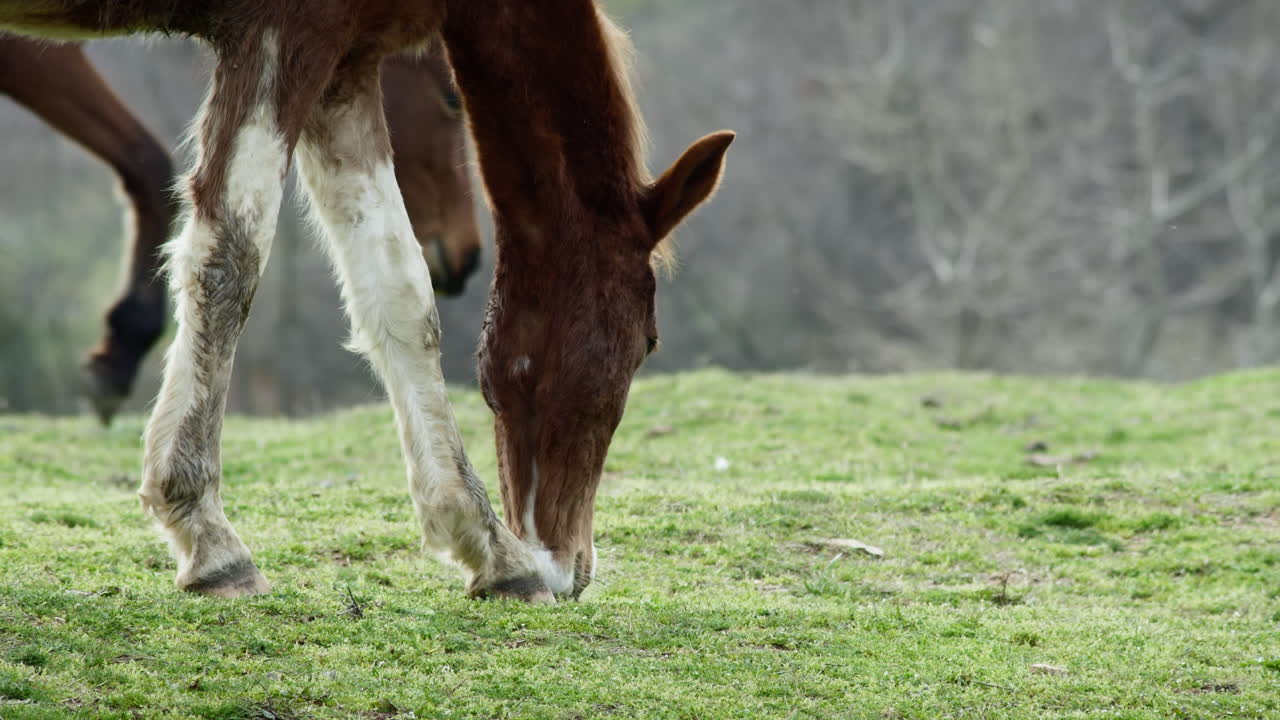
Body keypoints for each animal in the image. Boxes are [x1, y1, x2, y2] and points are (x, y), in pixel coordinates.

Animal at [0, 35, 482, 424]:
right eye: (452, 98)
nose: (470, 256)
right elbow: (148, 163)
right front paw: (121, 348)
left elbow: (147, 165)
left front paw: (120, 350)